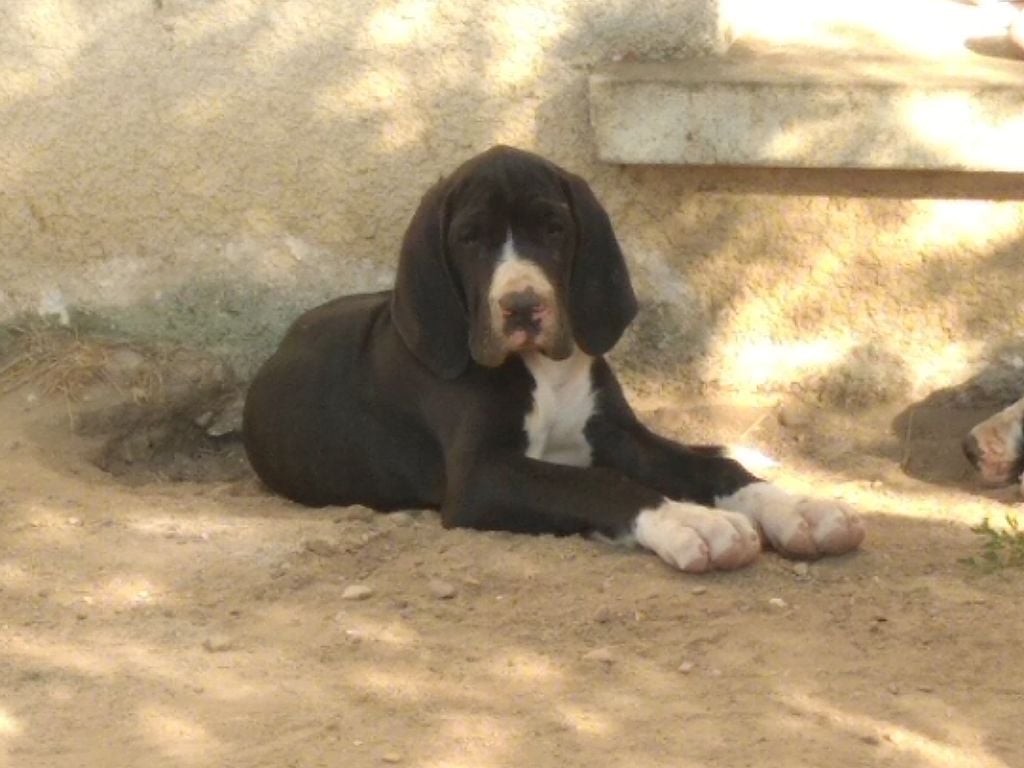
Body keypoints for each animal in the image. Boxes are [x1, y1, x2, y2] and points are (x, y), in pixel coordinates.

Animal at [242, 146, 865, 572]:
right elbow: (601, 484)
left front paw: (797, 509)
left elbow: (711, 469)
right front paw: (691, 521)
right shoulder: (481, 475)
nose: (522, 306)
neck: (546, 370)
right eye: (469, 238)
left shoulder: (617, 434)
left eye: (553, 227)